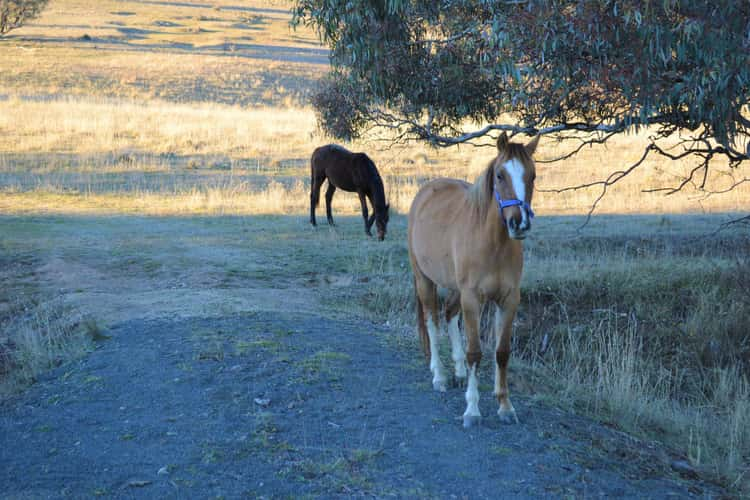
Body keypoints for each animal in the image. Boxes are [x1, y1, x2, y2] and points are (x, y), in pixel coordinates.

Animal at [412, 132, 540, 426]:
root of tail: (426, 191)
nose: (519, 223)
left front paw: (505, 405)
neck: (493, 243)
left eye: (532, 175)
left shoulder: (508, 299)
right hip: (425, 280)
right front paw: (472, 408)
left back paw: (458, 372)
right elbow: (475, 352)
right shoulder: (473, 299)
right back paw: (440, 375)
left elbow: (502, 352)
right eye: (500, 175)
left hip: (455, 289)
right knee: (432, 321)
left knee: (449, 314)